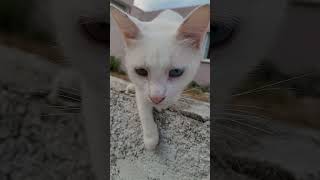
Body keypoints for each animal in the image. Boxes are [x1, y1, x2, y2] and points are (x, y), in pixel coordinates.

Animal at [110, 4, 210, 150]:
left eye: (176, 72)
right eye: (141, 71)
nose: (156, 98)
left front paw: (165, 104)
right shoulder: (142, 90)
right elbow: (143, 105)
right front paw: (150, 137)